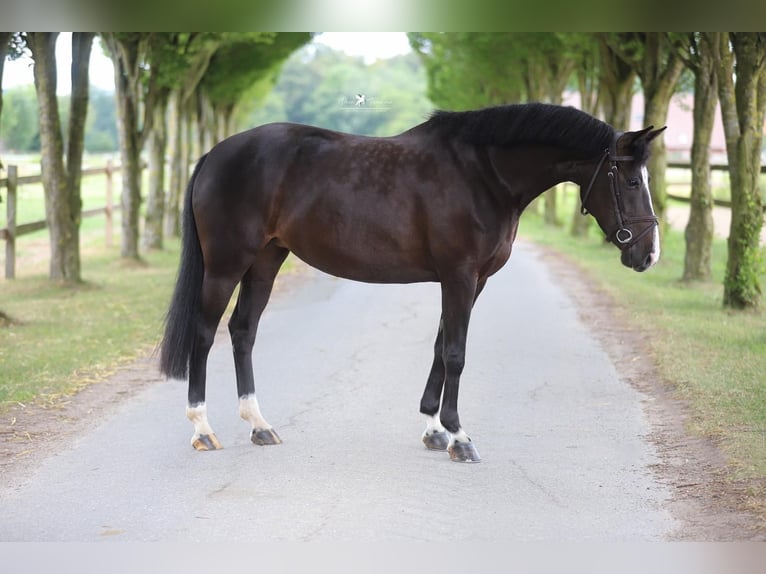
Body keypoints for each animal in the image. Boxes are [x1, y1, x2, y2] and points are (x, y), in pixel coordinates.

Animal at [159, 102, 665, 463]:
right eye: (632, 180)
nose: (649, 255)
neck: (484, 174)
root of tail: (215, 154)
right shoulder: (459, 275)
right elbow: (457, 353)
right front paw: (460, 438)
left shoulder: (472, 280)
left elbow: (442, 347)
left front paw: (435, 430)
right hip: (226, 264)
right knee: (204, 334)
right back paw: (203, 430)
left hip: (266, 259)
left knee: (243, 330)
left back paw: (259, 425)